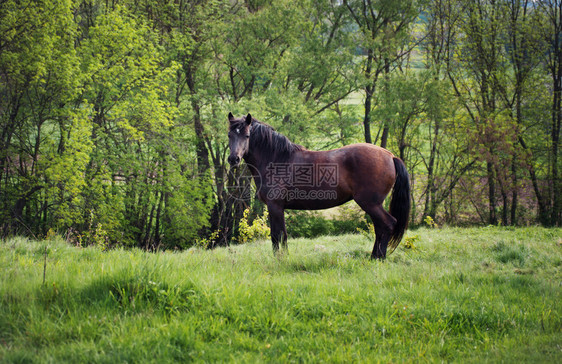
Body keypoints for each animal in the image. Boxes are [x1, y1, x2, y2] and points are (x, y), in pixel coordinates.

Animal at [225, 112, 410, 258]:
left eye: (247, 136)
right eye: (229, 135)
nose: (233, 159)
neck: (277, 160)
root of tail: (390, 155)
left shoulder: (275, 206)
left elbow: (278, 235)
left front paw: (280, 260)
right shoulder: (278, 207)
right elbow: (281, 235)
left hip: (370, 203)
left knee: (387, 225)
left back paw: (379, 258)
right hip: (373, 205)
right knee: (380, 228)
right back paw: (373, 257)